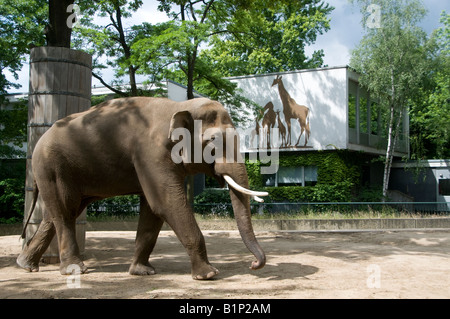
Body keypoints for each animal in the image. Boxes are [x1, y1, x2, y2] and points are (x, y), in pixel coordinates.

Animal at [17, 97, 268, 280]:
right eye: (213, 141)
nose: (253, 264)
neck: (179, 106)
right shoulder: (151, 153)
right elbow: (166, 203)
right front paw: (208, 275)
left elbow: (152, 210)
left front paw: (142, 272)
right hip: (50, 167)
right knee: (65, 210)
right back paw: (74, 270)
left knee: (59, 213)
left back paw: (26, 265)